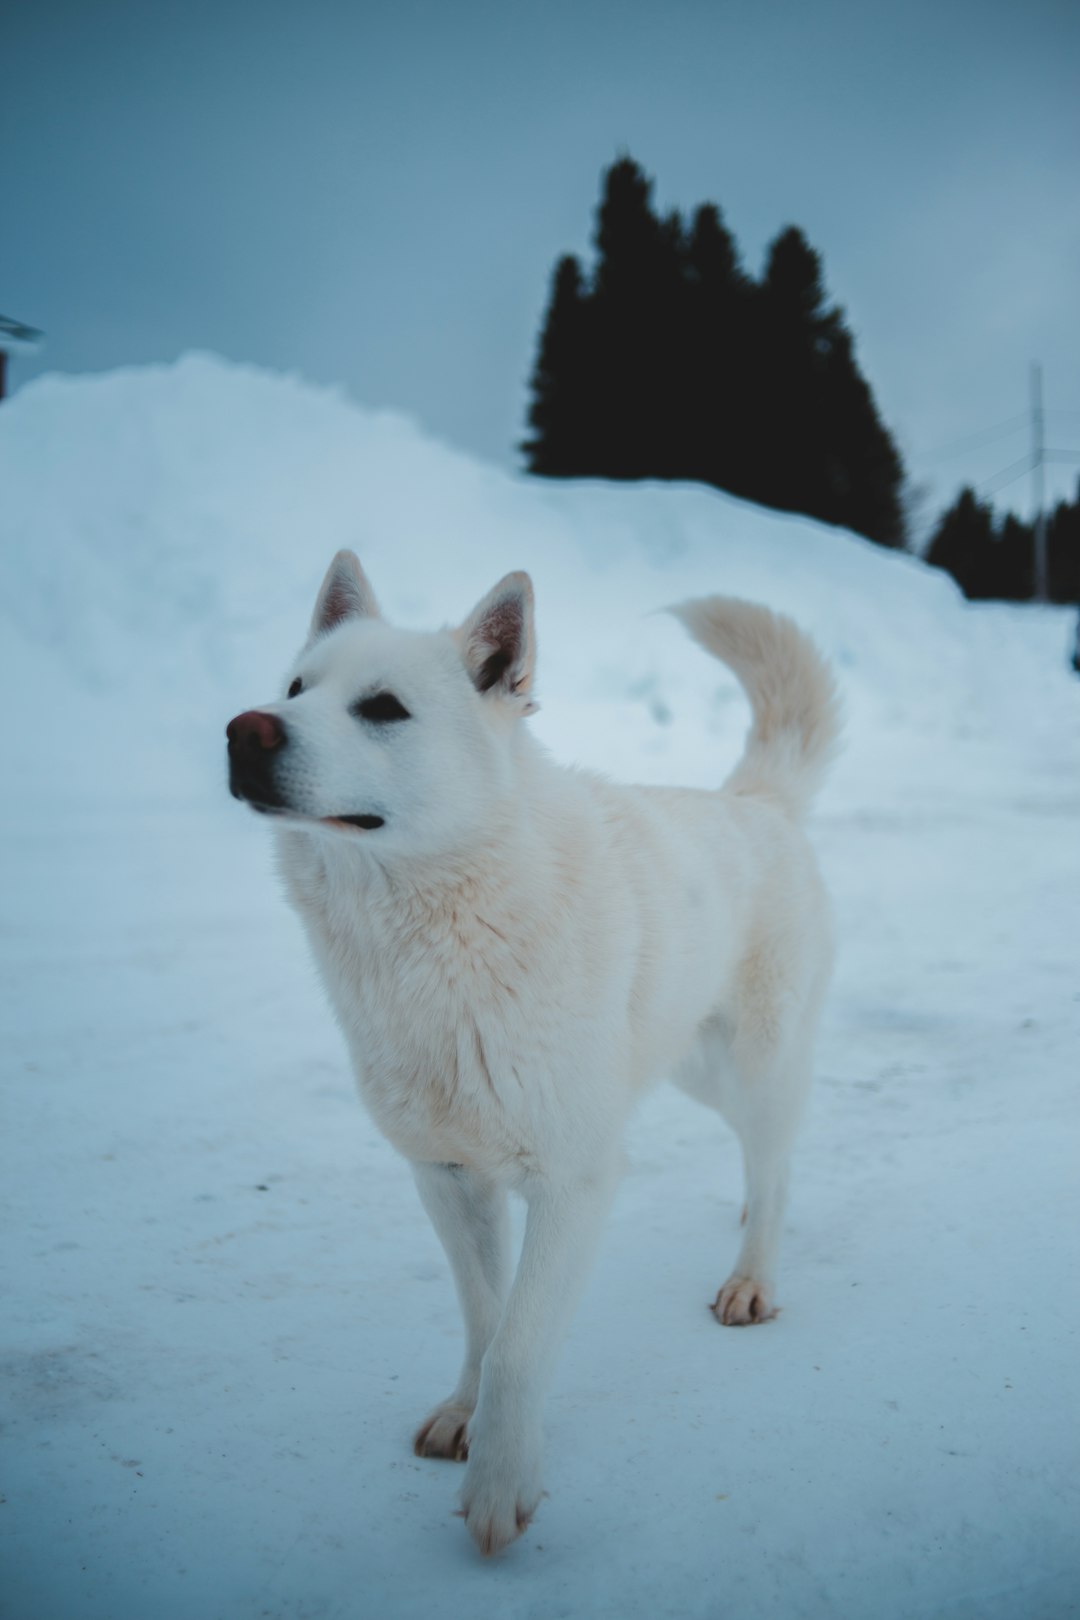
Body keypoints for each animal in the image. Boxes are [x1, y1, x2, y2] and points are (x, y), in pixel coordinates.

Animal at [226, 554, 835, 1555]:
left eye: (383, 708)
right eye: (295, 689)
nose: (244, 730)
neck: (438, 937)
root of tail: (756, 801)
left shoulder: (575, 1181)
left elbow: (518, 1346)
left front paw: (499, 1486)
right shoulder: (445, 1176)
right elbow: (484, 1316)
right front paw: (462, 1418)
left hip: (752, 1066)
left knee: (781, 1161)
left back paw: (753, 1275)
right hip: (691, 1071)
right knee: (763, 1160)